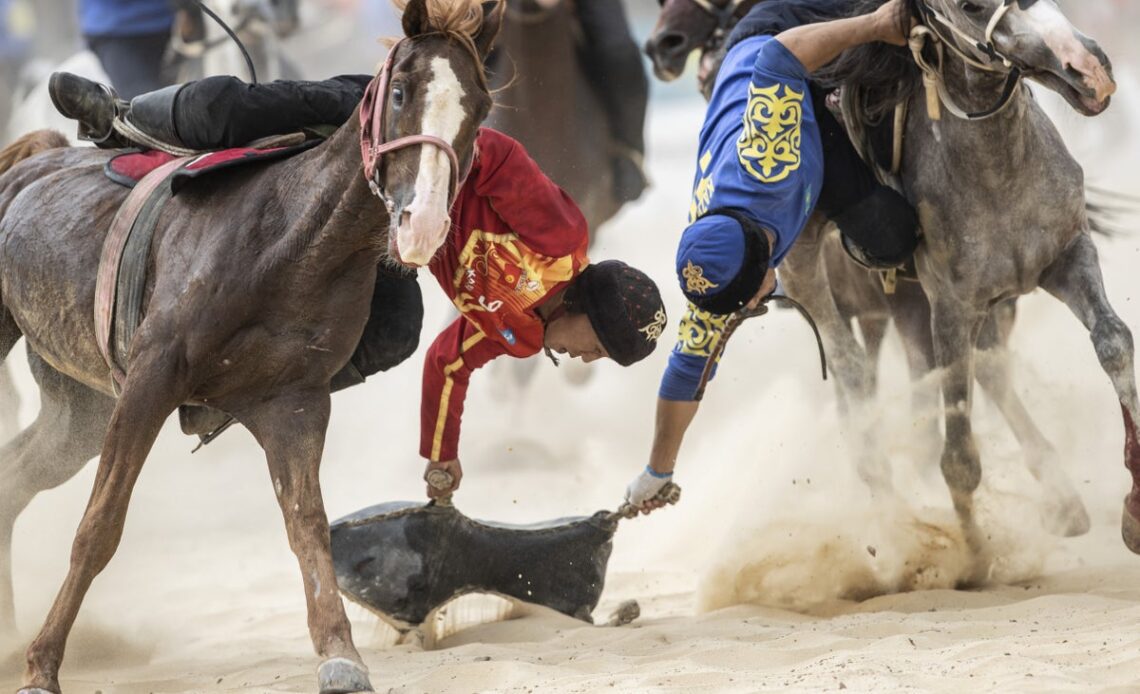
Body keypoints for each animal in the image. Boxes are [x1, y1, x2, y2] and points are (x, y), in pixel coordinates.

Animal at [0, 0, 503, 688]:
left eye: (479, 106)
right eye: (400, 92)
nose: (421, 222)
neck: (289, 242)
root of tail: (35, 158)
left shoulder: (293, 403)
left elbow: (307, 525)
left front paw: (341, 656)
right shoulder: (150, 382)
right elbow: (98, 528)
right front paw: (42, 669)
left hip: (78, 410)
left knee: (14, 475)